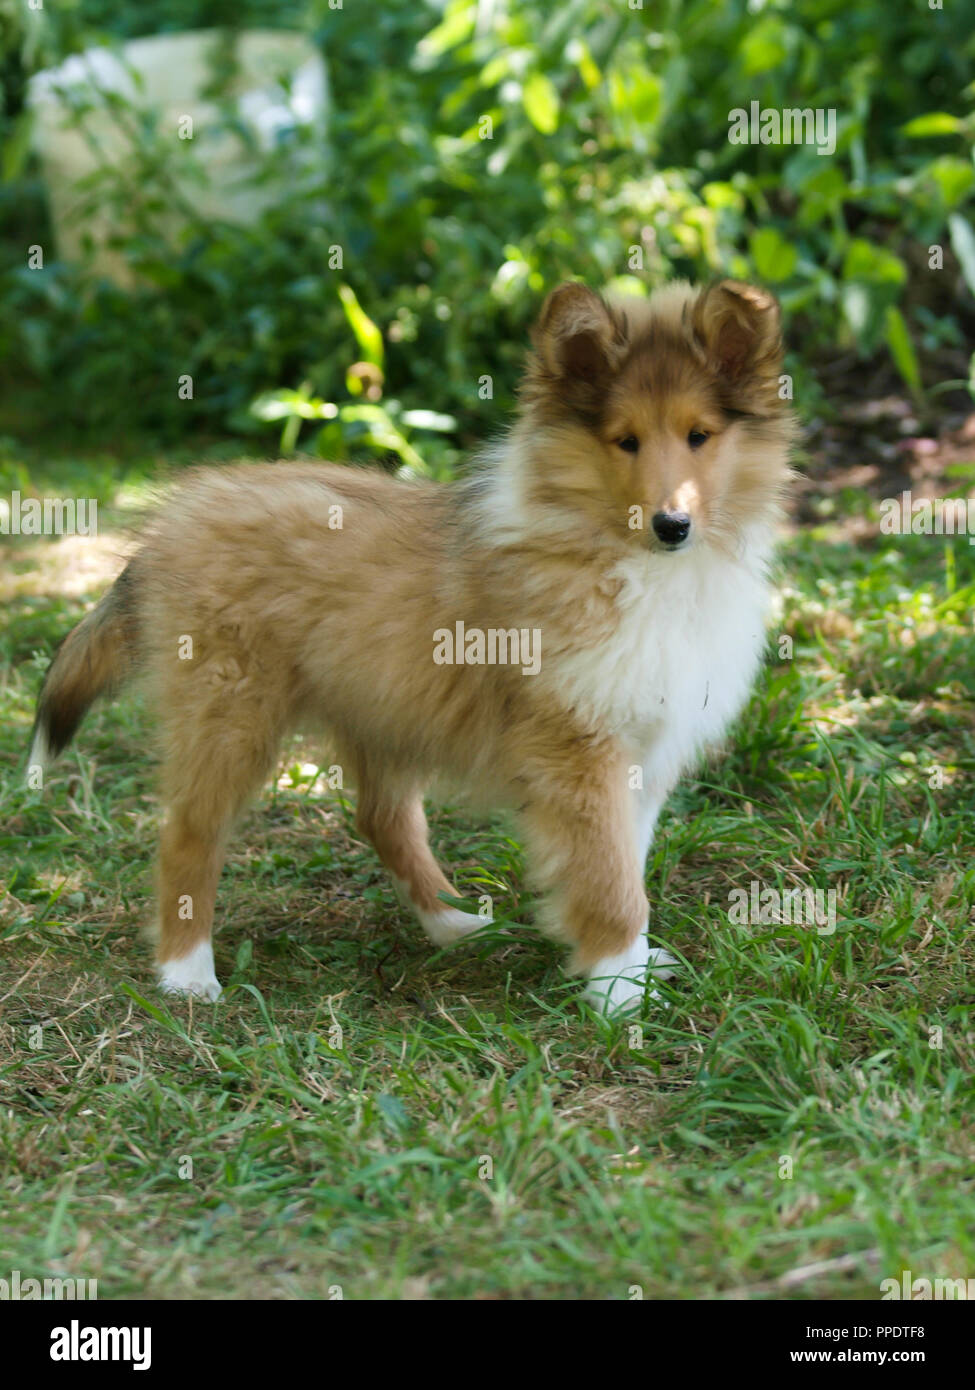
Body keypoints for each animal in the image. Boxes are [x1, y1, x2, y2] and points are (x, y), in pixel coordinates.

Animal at [28, 279, 790, 1011]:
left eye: (699, 435)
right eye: (624, 440)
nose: (671, 525)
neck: (630, 564)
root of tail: (172, 522)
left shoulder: (642, 750)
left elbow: (625, 866)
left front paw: (633, 967)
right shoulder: (576, 752)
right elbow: (608, 879)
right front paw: (617, 994)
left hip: (383, 707)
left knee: (382, 819)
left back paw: (455, 925)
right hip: (230, 711)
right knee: (188, 833)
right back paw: (186, 974)